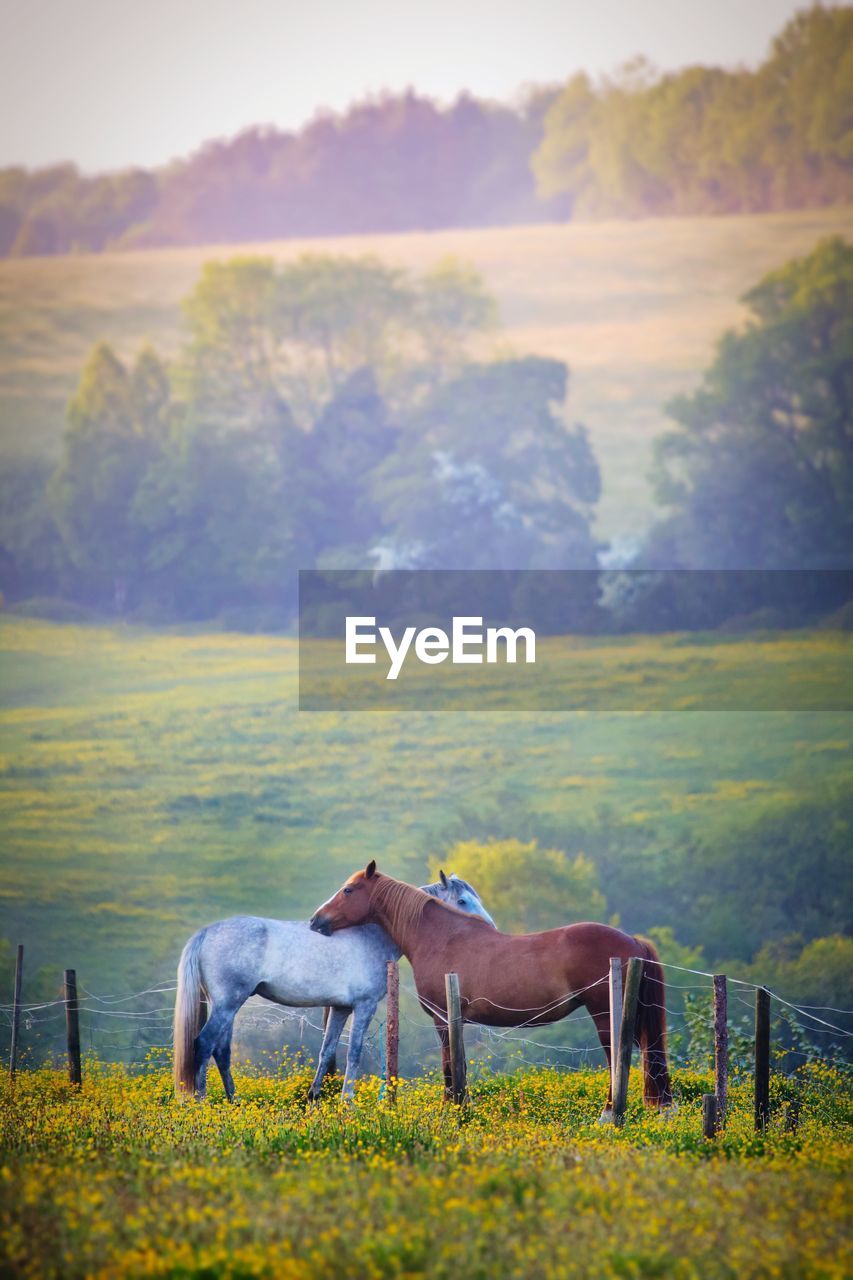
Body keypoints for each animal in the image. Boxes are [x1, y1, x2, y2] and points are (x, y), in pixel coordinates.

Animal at [171, 870, 491, 1100]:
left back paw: (232, 1102)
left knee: (221, 1051)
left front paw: (314, 1098)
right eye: (463, 901)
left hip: (226, 1005)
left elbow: (327, 1052)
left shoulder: (340, 1009)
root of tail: (207, 932)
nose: (489, 928)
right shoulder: (364, 1007)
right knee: (204, 1044)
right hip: (228, 1003)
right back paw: (200, 1102)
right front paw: (347, 1102)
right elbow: (354, 1052)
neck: (371, 935)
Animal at [308, 860, 666, 1111]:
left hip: (606, 1017)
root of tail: (632, 941)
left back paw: (607, 1114)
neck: (442, 937)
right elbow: (459, 1064)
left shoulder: (443, 1019)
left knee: (617, 1060)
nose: (315, 919)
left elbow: (449, 1065)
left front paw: (451, 1108)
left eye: (348, 891)